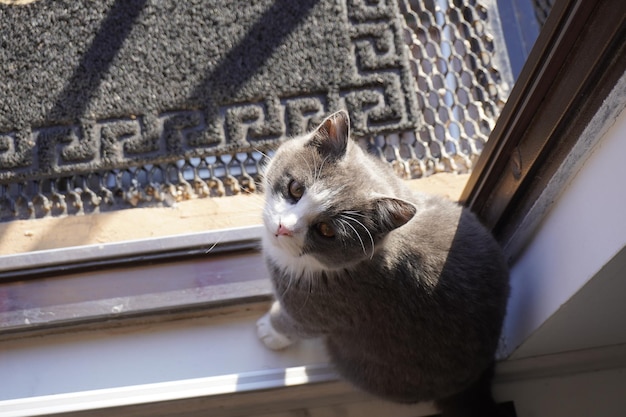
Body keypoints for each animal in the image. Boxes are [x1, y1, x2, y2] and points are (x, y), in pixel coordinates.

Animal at [256, 110, 510, 416]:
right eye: (295, 189)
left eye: (326, 230)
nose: (283, 227)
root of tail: (475, 383)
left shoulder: (320, 309)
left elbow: (294, 323)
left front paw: (269, 330)